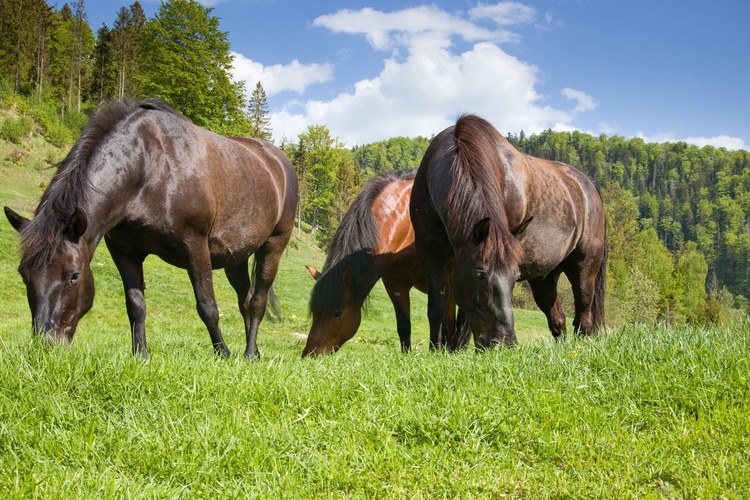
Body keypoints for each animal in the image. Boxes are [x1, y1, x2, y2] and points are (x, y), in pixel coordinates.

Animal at [6, 97, 300, 358]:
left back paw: (248, 354)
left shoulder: (195, 245)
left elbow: (207, 305)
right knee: (245, 301)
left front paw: (223, 353)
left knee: (258, 300)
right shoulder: (124, 251)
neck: (147, 167)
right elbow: (136, 305)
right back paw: (255, 352)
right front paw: (141, 355)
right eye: (23, 274)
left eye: (74, 276)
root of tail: (279, 161)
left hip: (274, 245)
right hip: (235, 257)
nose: (46, 345)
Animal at [302, 170, 470, 358]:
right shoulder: (395, 284)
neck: (406, 226)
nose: (310, 354)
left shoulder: (441, 280)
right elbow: (404, 325)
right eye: (314, 311)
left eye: (337, 313)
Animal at [412, 114, 612, 350]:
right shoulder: (429, 252)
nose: (505, 342)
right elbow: (436, 307)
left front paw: (458, 349)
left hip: (584, 270)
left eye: (515, 277)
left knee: (584, 318)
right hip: (544, 278)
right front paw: (436, 349)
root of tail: (588, 186)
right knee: (558, 319)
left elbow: (463, 319)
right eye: (480, 273)